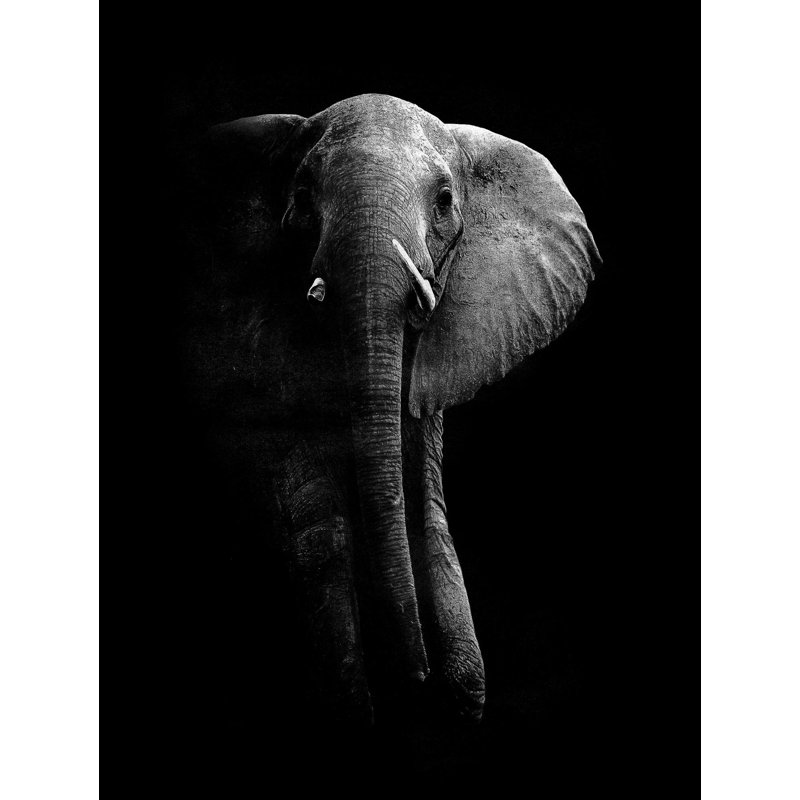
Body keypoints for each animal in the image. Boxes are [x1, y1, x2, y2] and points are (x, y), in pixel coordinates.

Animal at [182, 93, 601, 727]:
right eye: (302, 196)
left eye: (446, 200)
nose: (418, 679)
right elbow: (309, 509)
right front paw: (357, 706)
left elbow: (424, 500)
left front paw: (459, 694)